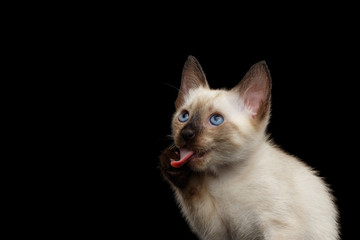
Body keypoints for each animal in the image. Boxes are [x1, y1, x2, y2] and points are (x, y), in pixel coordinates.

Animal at [159, 55, 338, 239]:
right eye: (184, 116)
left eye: (216, 120)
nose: (186, 133)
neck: (226, 175)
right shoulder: (217, 229)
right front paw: (172, 163)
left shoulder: (280, 227)